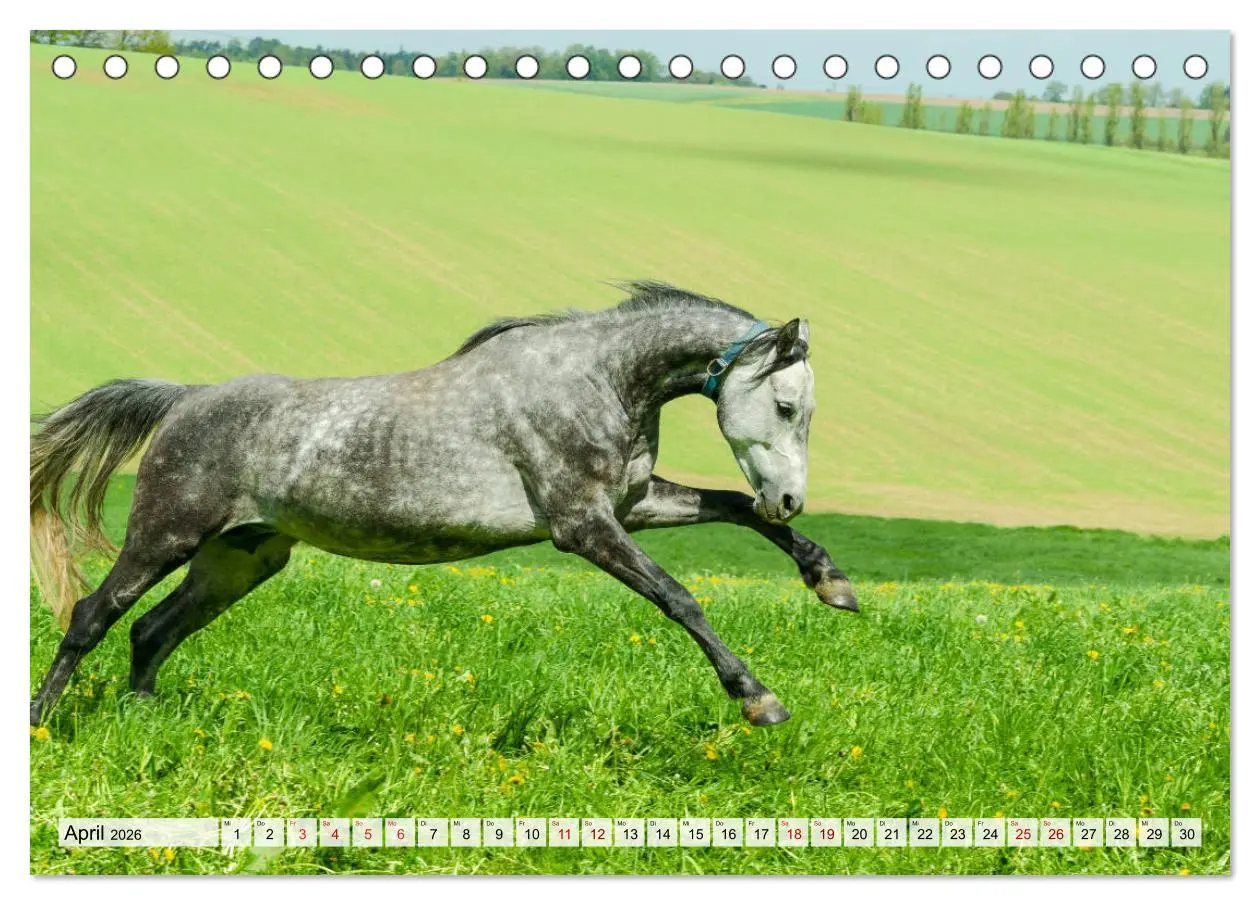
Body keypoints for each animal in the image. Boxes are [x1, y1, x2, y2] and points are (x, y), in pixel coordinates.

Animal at [30, 282, 858, 728]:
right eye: (787, 405)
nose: (790, 497)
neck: (598, 378)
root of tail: (187, 399)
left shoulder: (634, 504)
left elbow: (733, 507)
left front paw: (831, 582)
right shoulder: (584, 525)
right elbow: (680, 597)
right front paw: (759, 699)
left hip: (239, 559)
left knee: (151, 629)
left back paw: (142, 715)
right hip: (163, 536)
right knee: (94, 614)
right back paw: (42, 723)